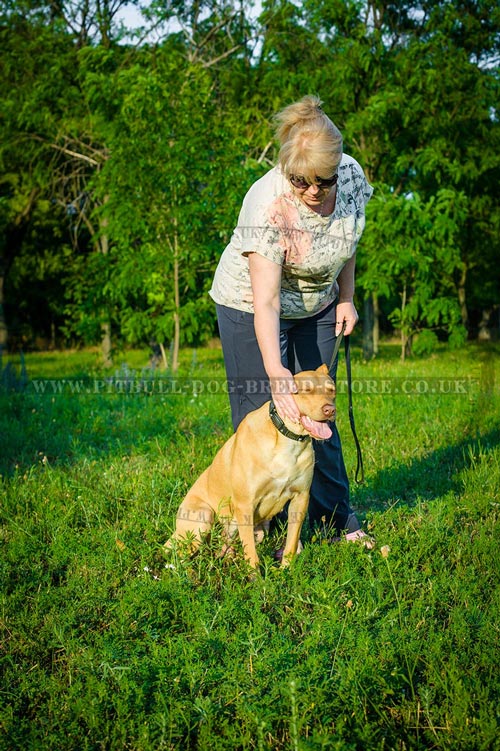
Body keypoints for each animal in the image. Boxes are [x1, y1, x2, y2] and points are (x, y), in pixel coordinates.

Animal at [165, 366, 336, 568]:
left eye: (332, 390)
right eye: (305, 390)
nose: (330, 410)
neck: (287, 439)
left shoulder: (300, 498)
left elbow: (291, 543)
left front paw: (287, 570)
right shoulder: (245, 504)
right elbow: (251, 554)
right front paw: (256, 577)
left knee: (225, 545)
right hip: (203, 517)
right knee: (178, 553)